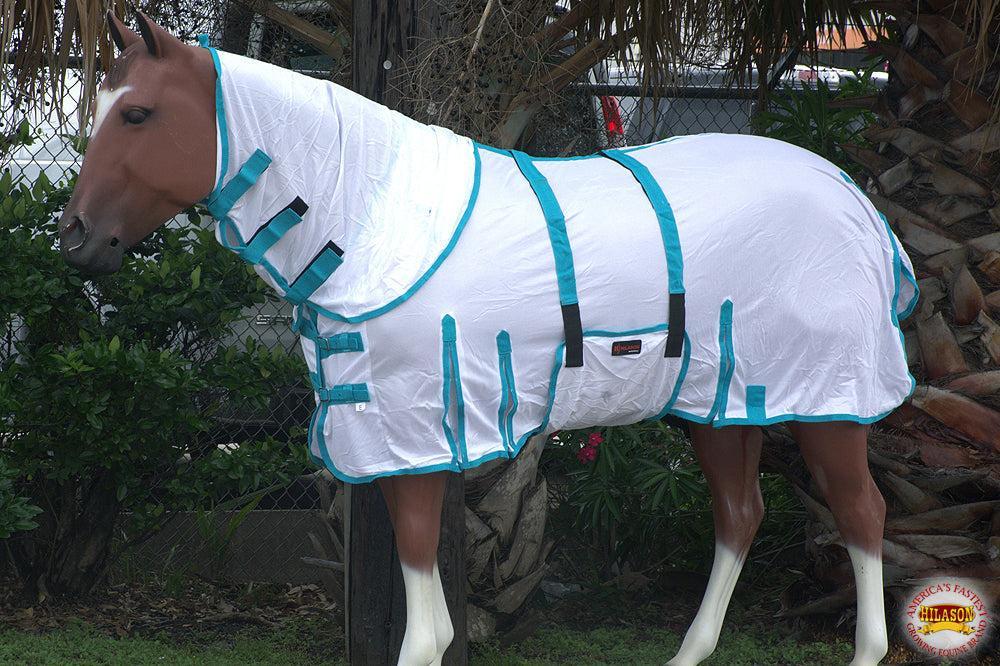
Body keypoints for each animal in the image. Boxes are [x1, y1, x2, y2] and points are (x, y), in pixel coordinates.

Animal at [59, 12, 918, 666]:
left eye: (137, 113)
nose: (75, 239)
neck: (367, 213)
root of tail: (854, 198)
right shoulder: (402, 434)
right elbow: (433, 604)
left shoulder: (413, 431)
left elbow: (420, 612)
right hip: (719, 402)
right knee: (741, 513)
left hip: (829, 401)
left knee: (862, 511)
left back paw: (867, 650)